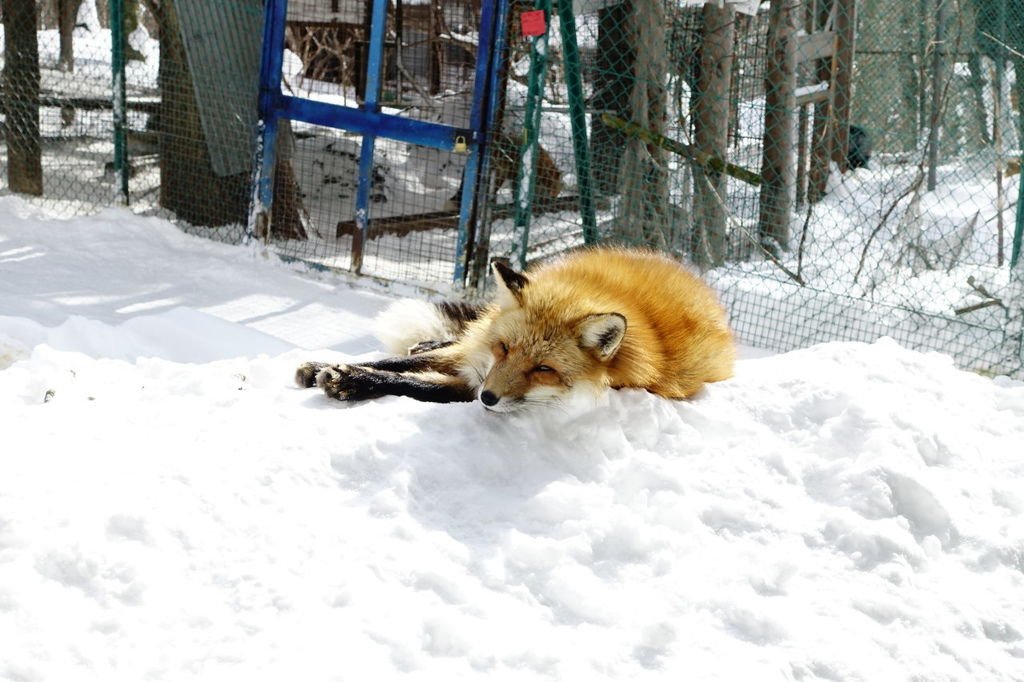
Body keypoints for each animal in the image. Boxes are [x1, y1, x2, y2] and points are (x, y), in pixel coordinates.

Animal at [296, 246, 737, 411]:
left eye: (544, 369)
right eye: (504, 349)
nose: (489, 398)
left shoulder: (467, 385)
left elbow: (412, 384)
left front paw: (348, 380)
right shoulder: (476, 356)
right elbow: (391, 363)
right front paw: (323, 365)